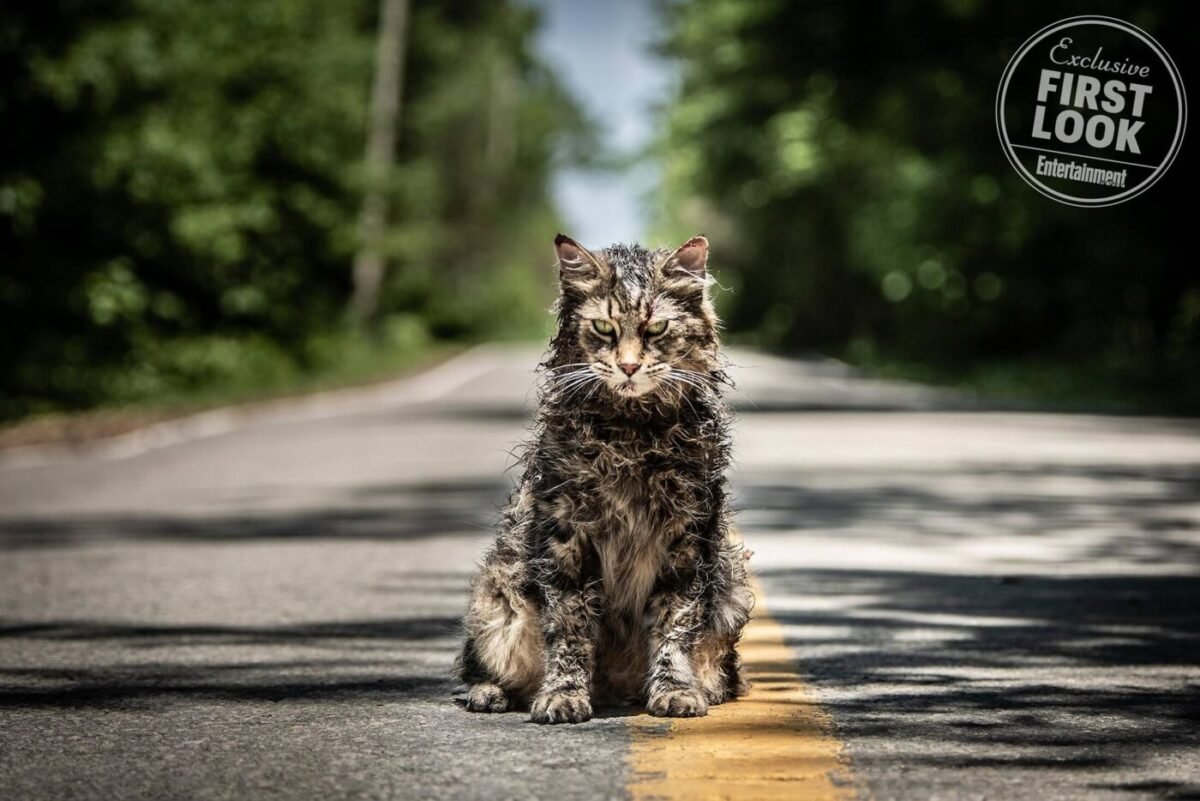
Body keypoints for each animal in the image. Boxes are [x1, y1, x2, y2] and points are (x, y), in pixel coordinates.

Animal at [453, 232, 753, 724]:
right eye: (604, 329)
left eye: (656, 329)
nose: (629, 367)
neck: (631, 436)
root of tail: (614, 689)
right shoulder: (566, 536)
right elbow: (570, 628)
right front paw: (564, 695)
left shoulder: (687, 537)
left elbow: (675, 625)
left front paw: (675, 690)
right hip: (497, 597)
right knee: (480, 667)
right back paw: (491, 693)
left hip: (732, 588)